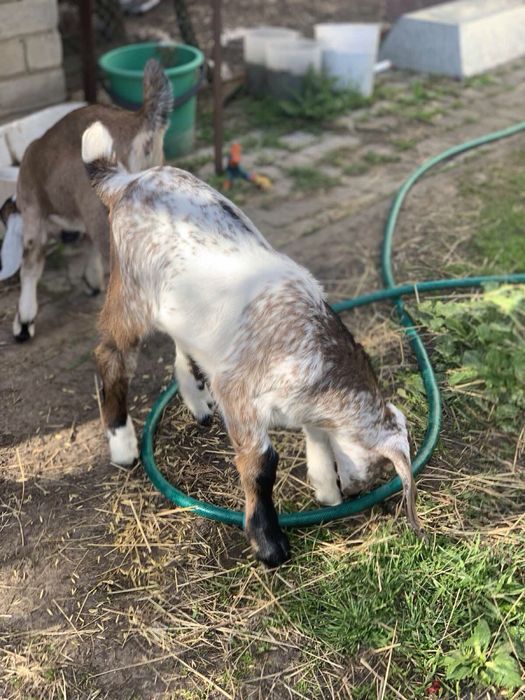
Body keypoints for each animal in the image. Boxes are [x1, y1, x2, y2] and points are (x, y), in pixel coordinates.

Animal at [4, 59, 173, 342]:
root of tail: (138, 122)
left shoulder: (33, 213)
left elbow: (31, 265)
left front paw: (24, 322)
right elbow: (87, 246)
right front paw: (92, 281)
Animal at [81, 120, 424, 568]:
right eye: (381, 468)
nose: (355, 494)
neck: (312, 346)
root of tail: (127, 180)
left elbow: (316, 439)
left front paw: (323, 487)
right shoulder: (239, 396)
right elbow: (262, 463)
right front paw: (269, 543)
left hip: (186, 311)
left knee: (182, 348)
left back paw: (196, 401)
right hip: (132, 293)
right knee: (111, 355)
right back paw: (122, 442)